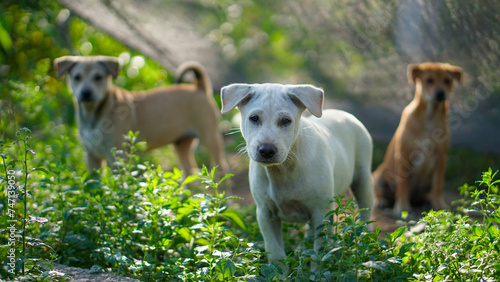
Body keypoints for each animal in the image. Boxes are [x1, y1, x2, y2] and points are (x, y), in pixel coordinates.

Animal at [54, 55, 227, 174]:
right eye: (77, 77)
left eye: (98, 77)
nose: (86, 93)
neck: (94, 114)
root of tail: (199, 87)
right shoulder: (92, 157)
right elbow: (95, 184)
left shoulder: (118, 157)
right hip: (181, 144)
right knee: (190, 173)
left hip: (210, 139)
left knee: (221, 172)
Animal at [221, 83, 374, 266]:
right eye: (254, 118)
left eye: (286, 121)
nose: (267, 150)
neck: (282, 170)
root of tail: (344, 113)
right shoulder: (265, 214)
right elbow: (276, 253)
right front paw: (279, 272)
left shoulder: (323, 213)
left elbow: (319, 254)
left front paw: (317, 271)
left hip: (363, 178)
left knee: (366, 212)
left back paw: (366, 242)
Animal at [374, 61, 462, 216]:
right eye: (429, 80)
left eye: (447, 80)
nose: (440, 93)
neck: (429, 117)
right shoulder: (403, 155)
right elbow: (403, 186)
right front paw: (402, 207)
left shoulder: (441, 157)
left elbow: (438, 185)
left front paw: (439, 205)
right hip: (379, 174)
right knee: (379, 192)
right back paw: (382, 201)